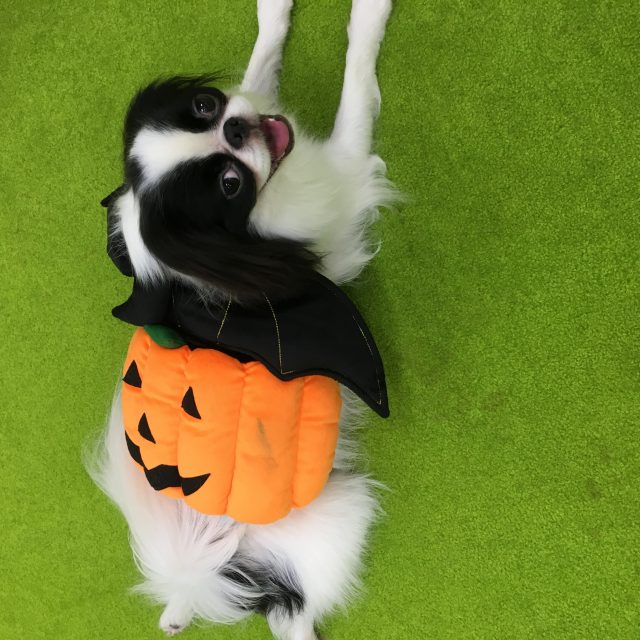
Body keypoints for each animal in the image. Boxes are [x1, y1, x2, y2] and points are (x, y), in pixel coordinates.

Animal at [87, 1, 394, 638]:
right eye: (230, 187)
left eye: (206, 106)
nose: (235, 129)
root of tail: (205, 571)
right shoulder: (339, 169)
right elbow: (356, 83)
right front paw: (369, 18)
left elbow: (260, 67)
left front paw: (273, 14)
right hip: (335, 521)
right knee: (293, 616)